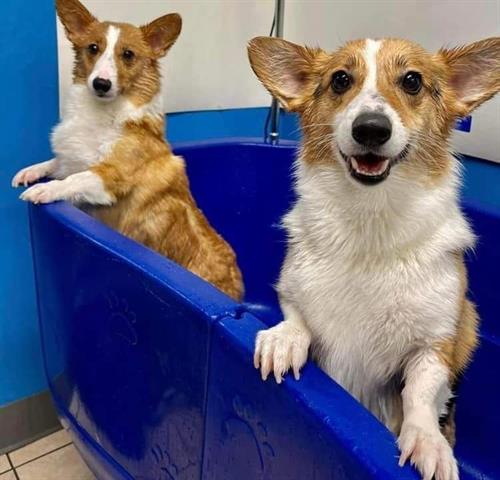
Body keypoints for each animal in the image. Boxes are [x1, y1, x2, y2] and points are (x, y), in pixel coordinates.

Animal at [12, 0, 243, 300]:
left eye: (128, 54)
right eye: (93, 48)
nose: (101, 84)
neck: (102, 113)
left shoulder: (112, 177)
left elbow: (76, 178)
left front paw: (45, 190)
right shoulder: (72, 158)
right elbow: (57, 163)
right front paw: (30, 172)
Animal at [250, 34, 500, 480]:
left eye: (412, 81)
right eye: (340, 80)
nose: (370, 129)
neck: (371, 220)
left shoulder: (437, 341)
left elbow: (420, 392)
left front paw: (428, 443)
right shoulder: (293, 290)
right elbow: (297, 319)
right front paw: (283, 341)